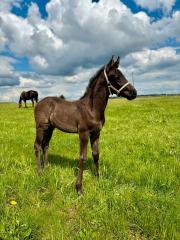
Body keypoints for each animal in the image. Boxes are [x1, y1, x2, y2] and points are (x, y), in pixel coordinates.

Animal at [34, 56, 137, 195]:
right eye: (115, 76)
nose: (134, 92)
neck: (91, 108)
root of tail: (39, 103)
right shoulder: (83, 133)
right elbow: (82, 157)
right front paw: (79, 189)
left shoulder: (96, 133)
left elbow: (96, 154)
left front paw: (98, 178)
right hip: (41, 127)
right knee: (37, 146)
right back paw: (40, 172)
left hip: (50, 128)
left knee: (45, 146)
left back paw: (47, 168)